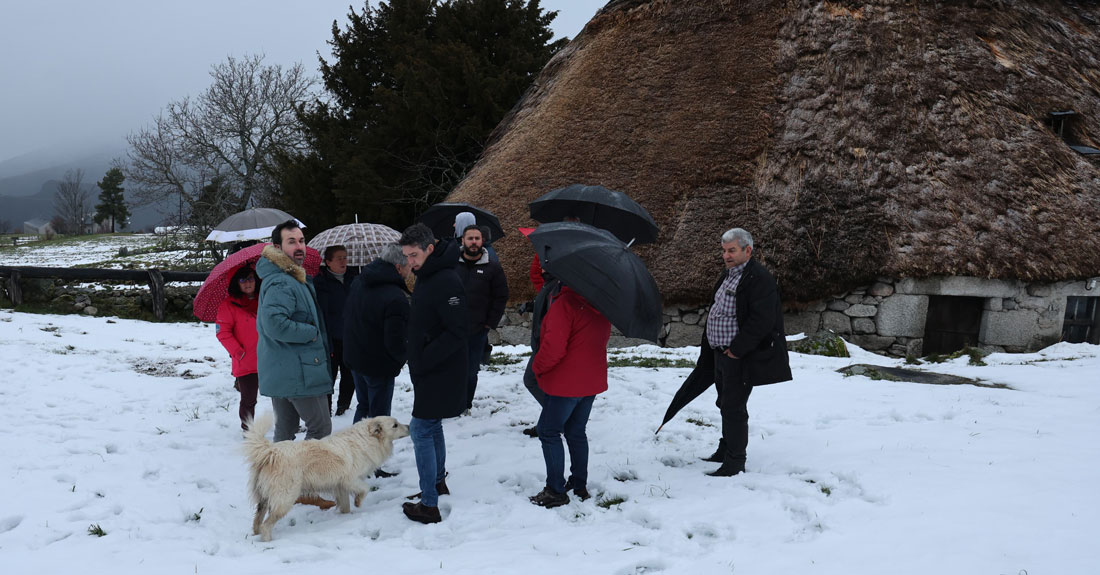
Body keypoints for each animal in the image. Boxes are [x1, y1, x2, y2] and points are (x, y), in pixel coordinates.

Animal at [243, 413, 411, 540]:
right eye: (395, 425)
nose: (410, 426)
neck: (367, 439)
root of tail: (270, 452)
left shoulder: (340, 486)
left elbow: (345, 506)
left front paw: (346, 517)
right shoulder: (349, 480)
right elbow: (365, 488)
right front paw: (358, 502)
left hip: (264, 499)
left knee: (257, 521)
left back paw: (255, 536)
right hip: (285, 498)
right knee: (266, 525)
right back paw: (268, 541)